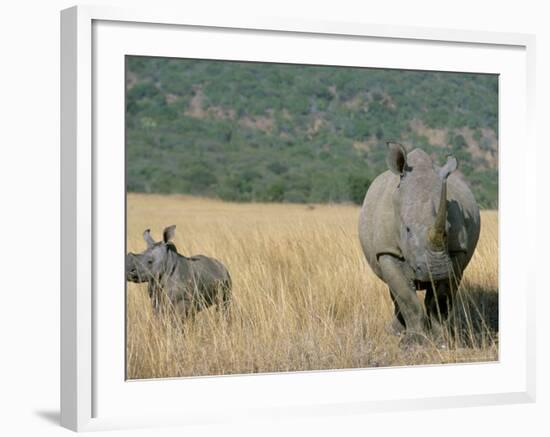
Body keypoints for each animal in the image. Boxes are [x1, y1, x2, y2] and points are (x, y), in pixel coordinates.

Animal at [360, 143, 480, 340]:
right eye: (407, 230)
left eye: (447, 232)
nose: (436, 270)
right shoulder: (387, 250)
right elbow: (406, 298)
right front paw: (414, 340)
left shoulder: (456, 251)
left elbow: (440, 299)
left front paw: (442, 339)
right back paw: (395, 332)